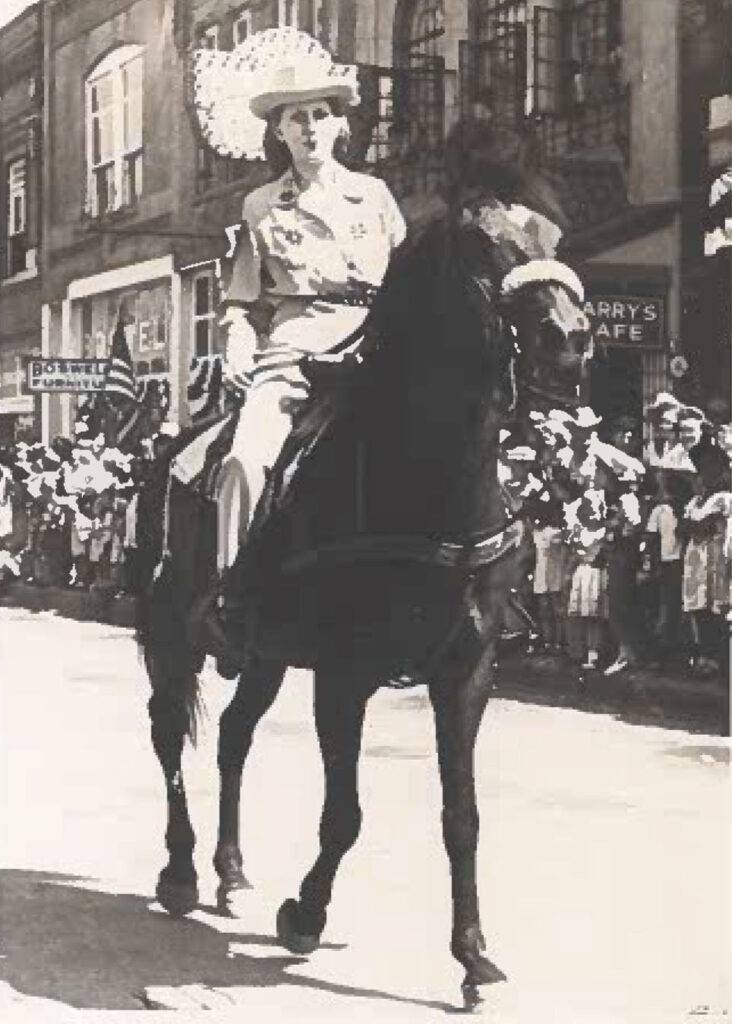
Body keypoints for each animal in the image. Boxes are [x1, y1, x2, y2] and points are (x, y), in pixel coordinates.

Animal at [136, 186, 589, 1007]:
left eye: (555, 237)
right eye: (484, 248)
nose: (569, 340)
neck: (426, 481)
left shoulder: (466, 672)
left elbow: (462, 815)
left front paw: (473, 957)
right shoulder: (344, 674)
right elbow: (343, 813)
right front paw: (305, 913)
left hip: (265, 656)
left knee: (234, 736)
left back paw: (230, 870)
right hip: (168, 635)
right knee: (167, 736)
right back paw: (182, 872)